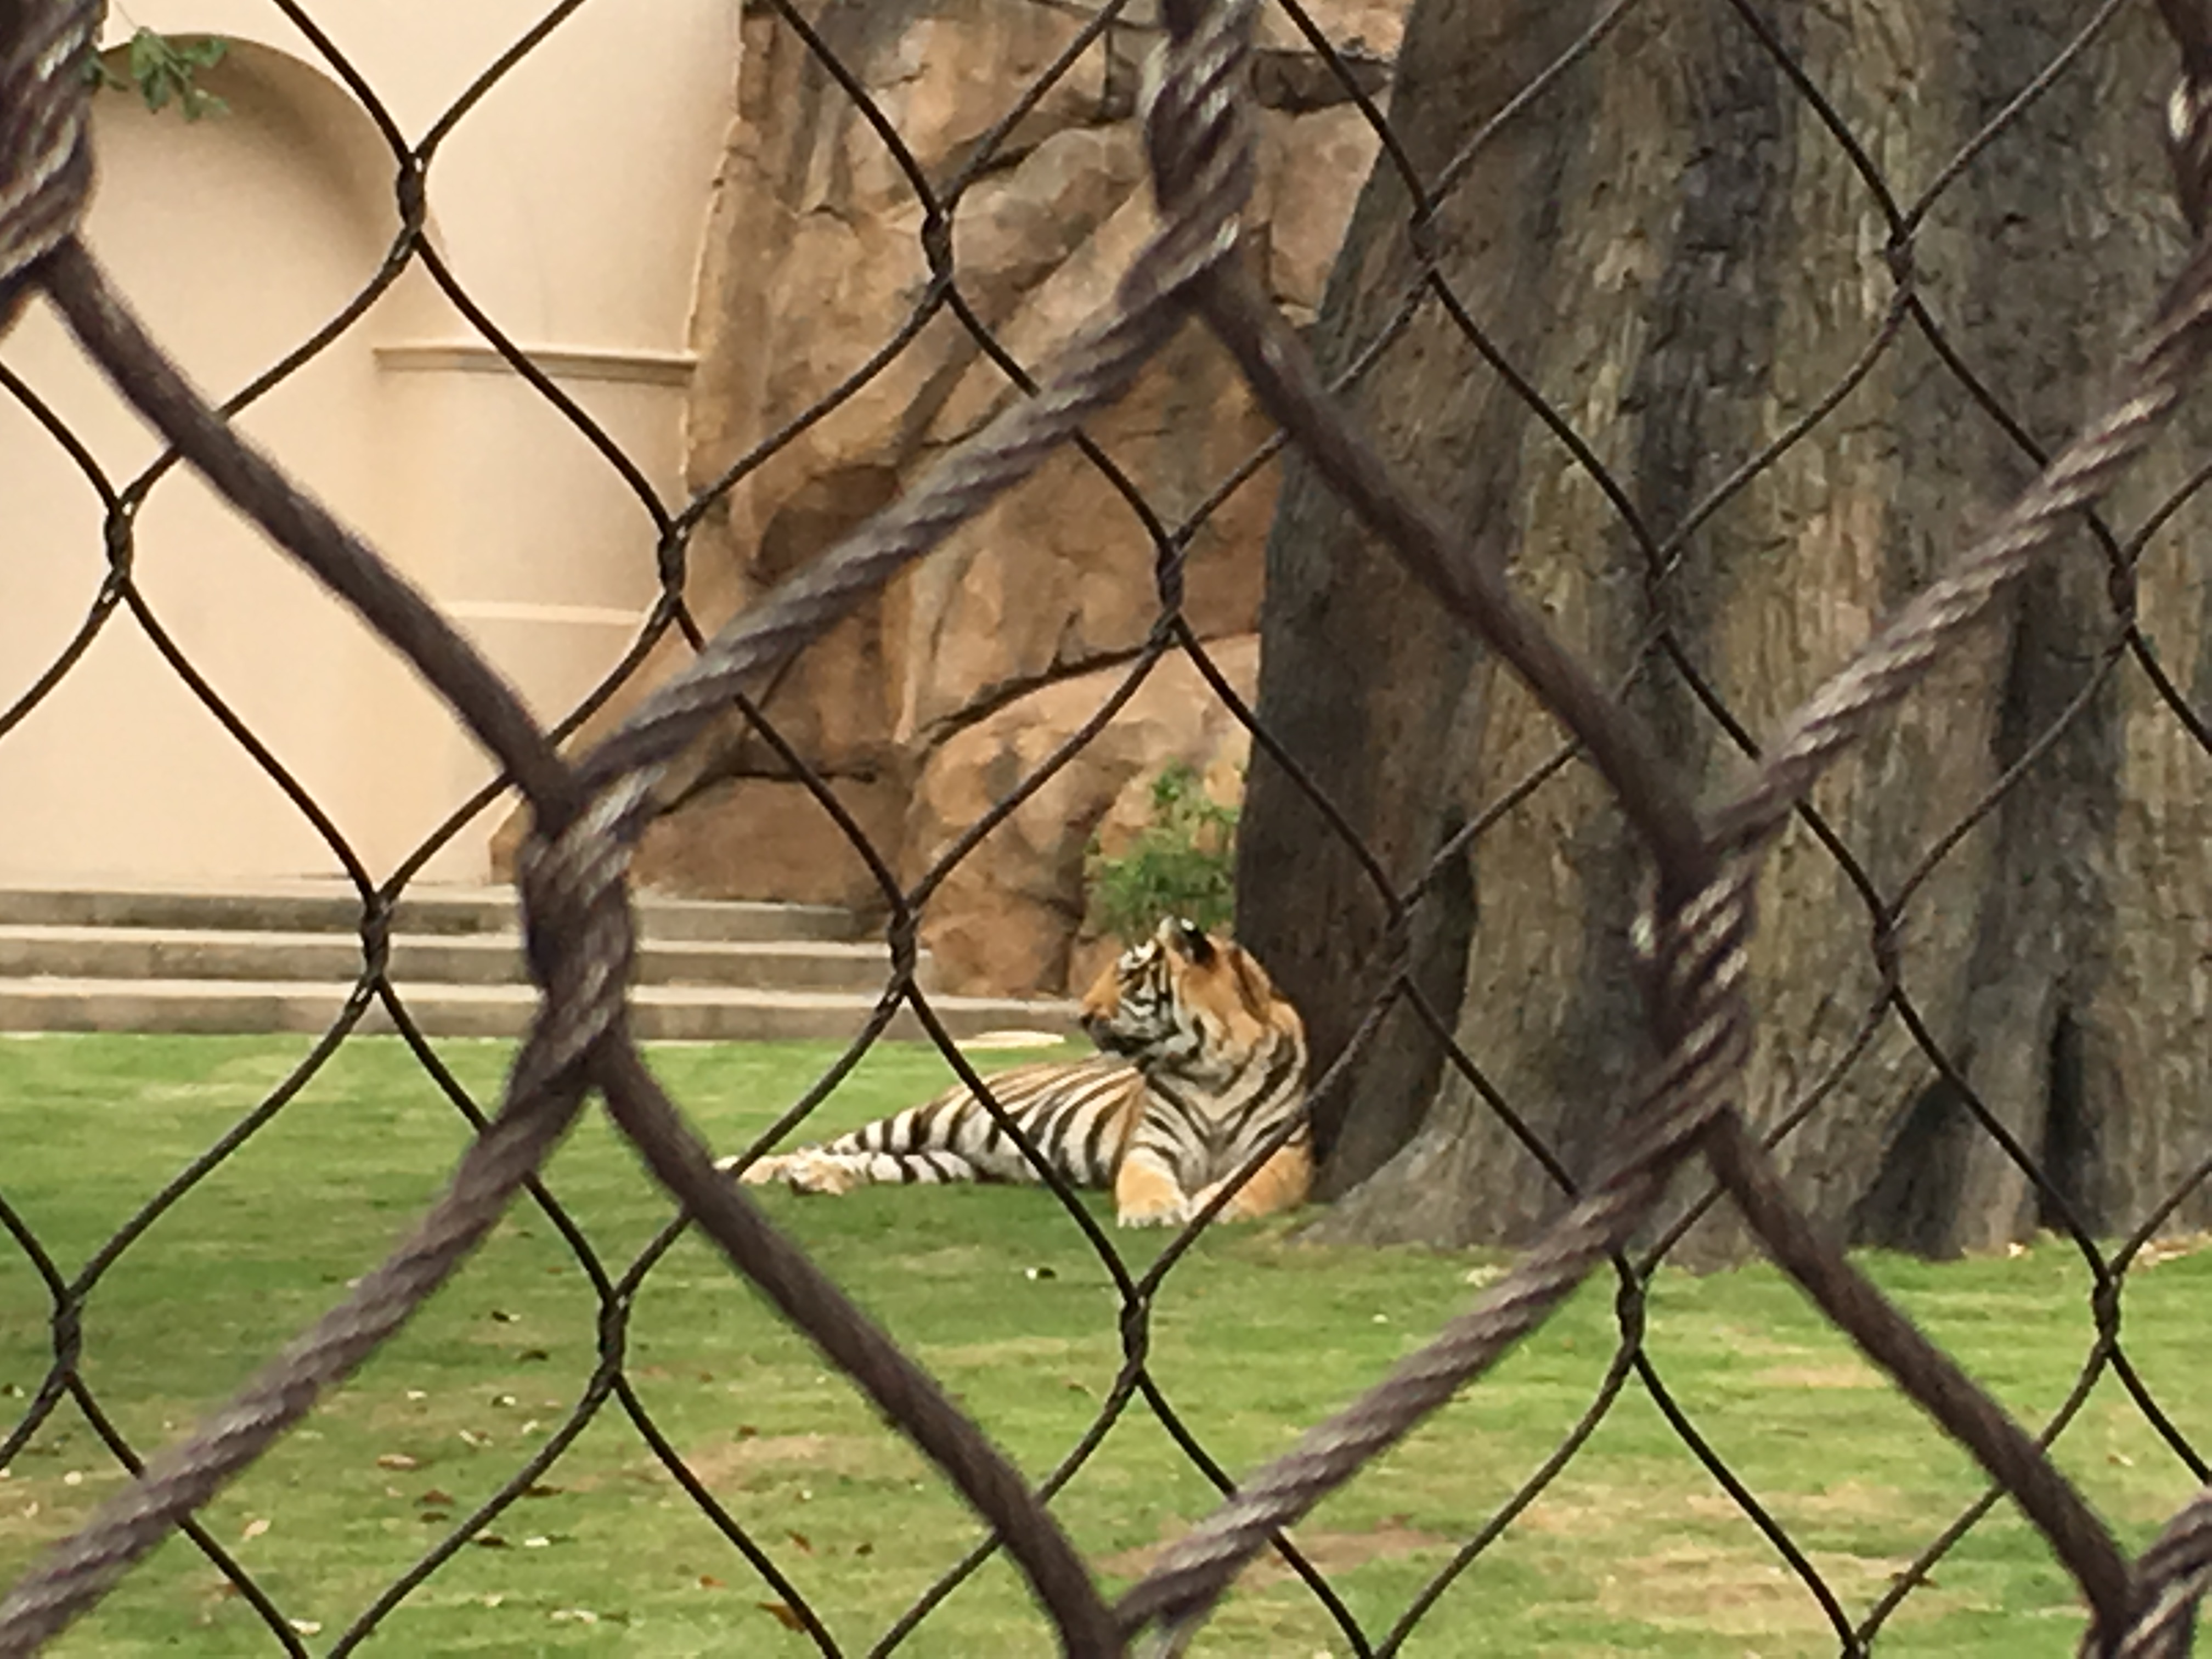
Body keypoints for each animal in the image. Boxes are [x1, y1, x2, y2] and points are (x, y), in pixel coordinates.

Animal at [721, 917, 1311, 1227]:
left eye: (1127, 977)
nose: (1082, 1015)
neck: (1209, 1066)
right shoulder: (1149, 1146)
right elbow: (1144, 1178)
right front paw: (1156, 1211)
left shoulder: (1287, 1152)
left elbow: (1256, 1185)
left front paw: (1213, 1203)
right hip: (924, 1120)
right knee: (832, 1143)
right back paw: (749, 1168)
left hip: (946, 1162)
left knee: (865, 1163)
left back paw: (816, 1178)